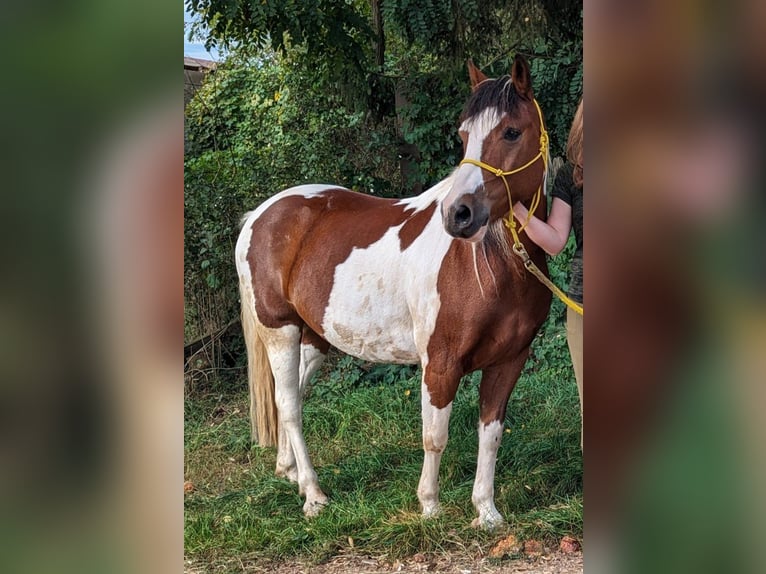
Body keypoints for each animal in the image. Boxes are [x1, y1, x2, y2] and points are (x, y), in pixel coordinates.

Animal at [235, 55, 552, 529]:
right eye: (463, 136)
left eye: (512, 131)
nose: (457, 214)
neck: (494, 266)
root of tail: (260, 214)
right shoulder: (440, 364)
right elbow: (435, 435)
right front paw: (430, 507)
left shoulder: (509, 362)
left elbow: (491, 435)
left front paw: (486, 512)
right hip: (280, 330)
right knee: (289, 405)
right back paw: (313, 494)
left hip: (315, 338)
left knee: (289, 396)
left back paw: (288, 471)